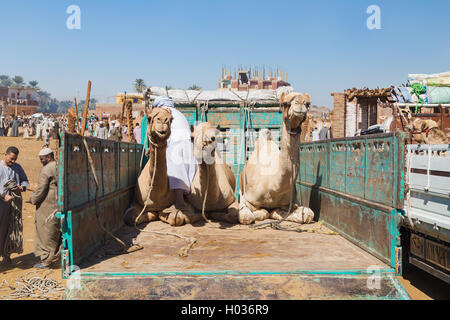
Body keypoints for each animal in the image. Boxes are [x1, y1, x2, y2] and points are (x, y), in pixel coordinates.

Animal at [237, 91, 314, 224]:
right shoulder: (247, 198)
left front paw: (277, 213)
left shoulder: (291, 201)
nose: (300, 103)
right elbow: (250, 216)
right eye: (285, 103)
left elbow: (309, 213)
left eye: (308, 104)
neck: (273, 186)